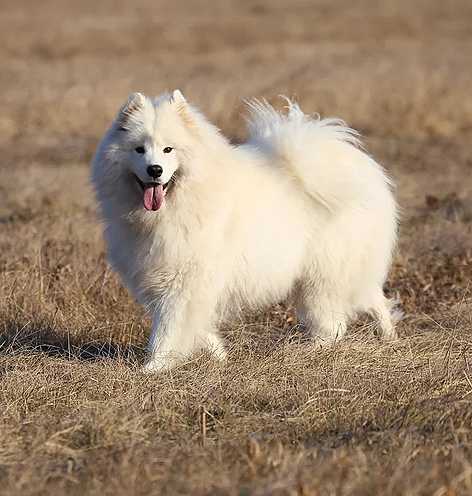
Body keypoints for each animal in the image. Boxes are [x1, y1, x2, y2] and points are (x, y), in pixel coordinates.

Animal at [91, 90, 398, 372]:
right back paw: (389, 338)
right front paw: (219, 356)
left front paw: (152, 368)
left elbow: (169, 329)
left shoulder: (185, 280)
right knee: (374, 300)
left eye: (168, 150)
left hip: (322, 278)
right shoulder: (173, 280)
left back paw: (309, 352)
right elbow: (195, 326)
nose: (154, 170)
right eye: (139, 149)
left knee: (333, 326)